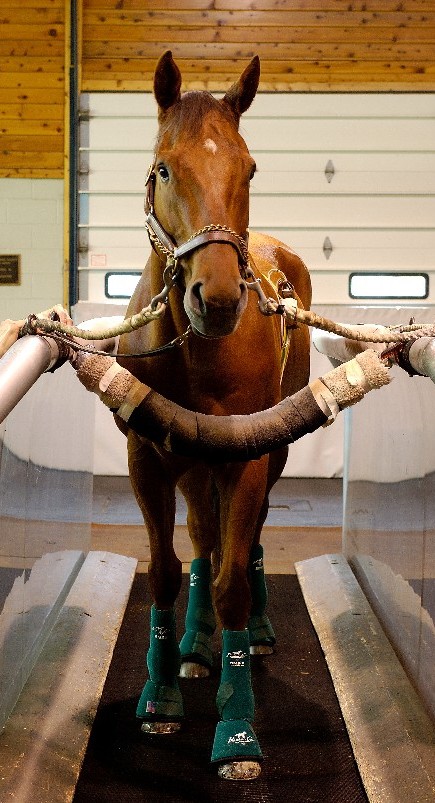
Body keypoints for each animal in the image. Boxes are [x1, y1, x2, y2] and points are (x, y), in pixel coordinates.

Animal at [117, 51, 312, 780]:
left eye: (249, 169)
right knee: (203, 537)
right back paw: (197, 647)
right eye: (163, 168)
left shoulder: (246, 457)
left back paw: (250, 635)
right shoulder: (146, 459)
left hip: (267, 453)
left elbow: (231, 576)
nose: (220, 298)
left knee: (245, 537)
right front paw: (161, 694)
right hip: (193, 461)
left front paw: (236, 731)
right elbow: (167, 570)